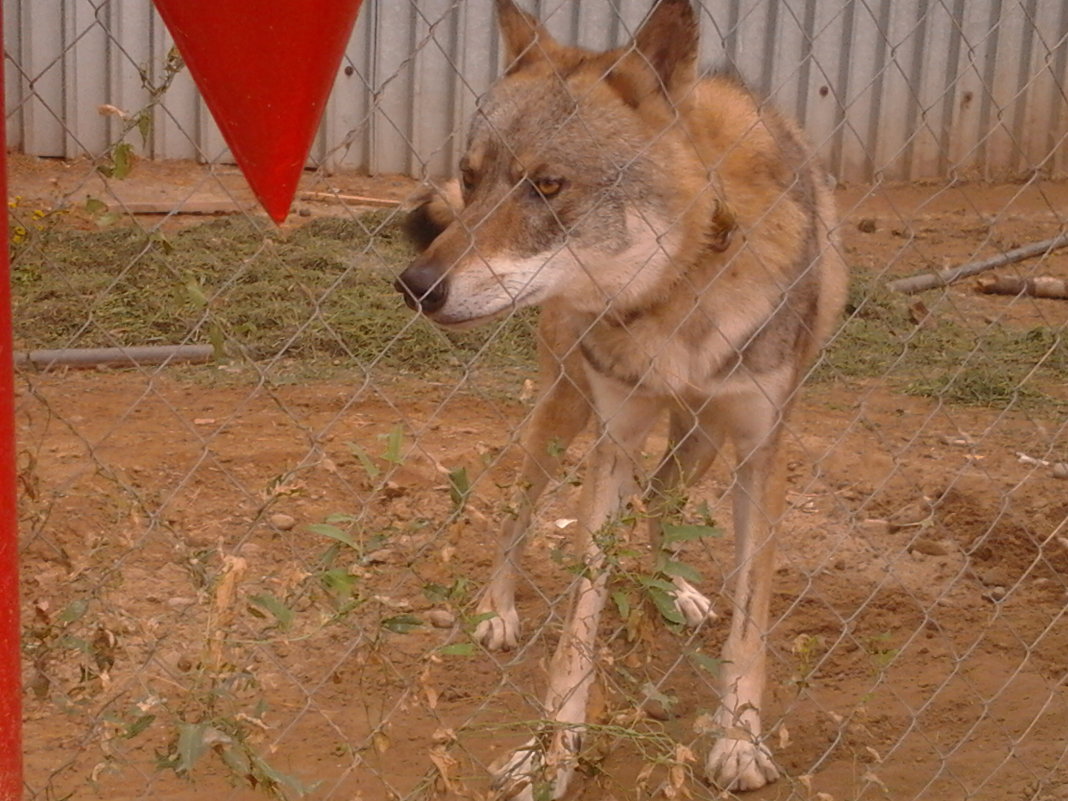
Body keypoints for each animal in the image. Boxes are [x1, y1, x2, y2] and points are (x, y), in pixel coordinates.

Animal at [397, 1, 845, 798]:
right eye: (471, 179)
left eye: (547, 184)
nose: (415, 285)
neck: (681, 288)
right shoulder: (612, 438)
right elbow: (577, 626)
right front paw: (550, 751)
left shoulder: (762, 451)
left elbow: (751, 618)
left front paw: (738, 739)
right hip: (566, 412)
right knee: (519, 507)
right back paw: (497, 609)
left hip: (701, 439)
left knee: (664, 498)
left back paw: (677, 589)